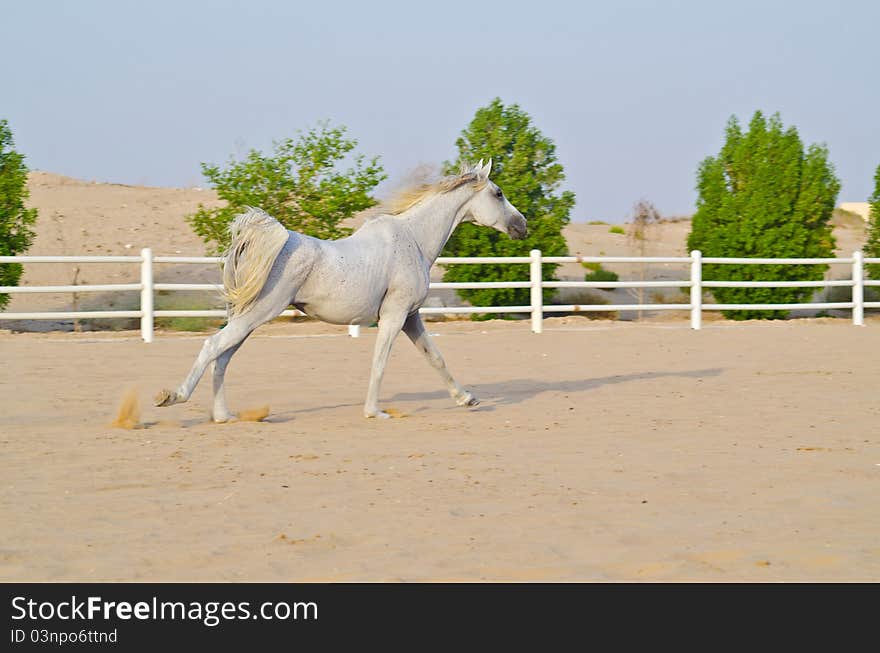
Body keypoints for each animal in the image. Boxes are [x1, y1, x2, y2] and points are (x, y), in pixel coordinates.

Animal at [155, 158, 524, 418]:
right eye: (498, 193)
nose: (522, 225)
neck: (414, 240)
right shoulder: (394, 316)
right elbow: (380, 361)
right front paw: (374, 412)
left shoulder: (410, 317)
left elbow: (435, 357)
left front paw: (467, 398)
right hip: (259, 313)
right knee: (214, 346)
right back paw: (171, 396)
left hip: (248, 318)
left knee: (223, 356)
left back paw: (224, 415)